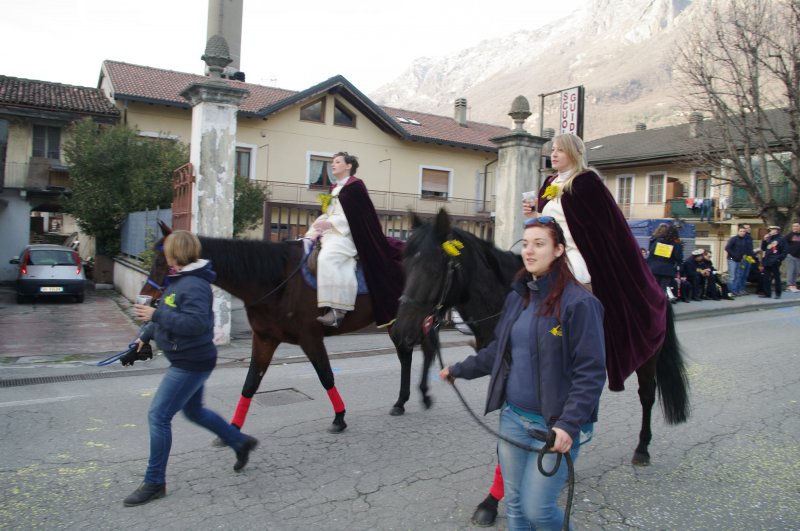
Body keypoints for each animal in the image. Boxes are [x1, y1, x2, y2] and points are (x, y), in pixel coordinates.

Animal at [140, 224, 434, 436]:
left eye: (160, 262)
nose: (142, 300)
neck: (277, 280)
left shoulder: (310, 338)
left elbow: (326, 376)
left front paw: (339, 418)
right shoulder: (265, 339)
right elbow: (250, 383)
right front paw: (233, 429)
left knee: (423, 350)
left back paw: (422, 394)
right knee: (407, 353)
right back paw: (403, 401)